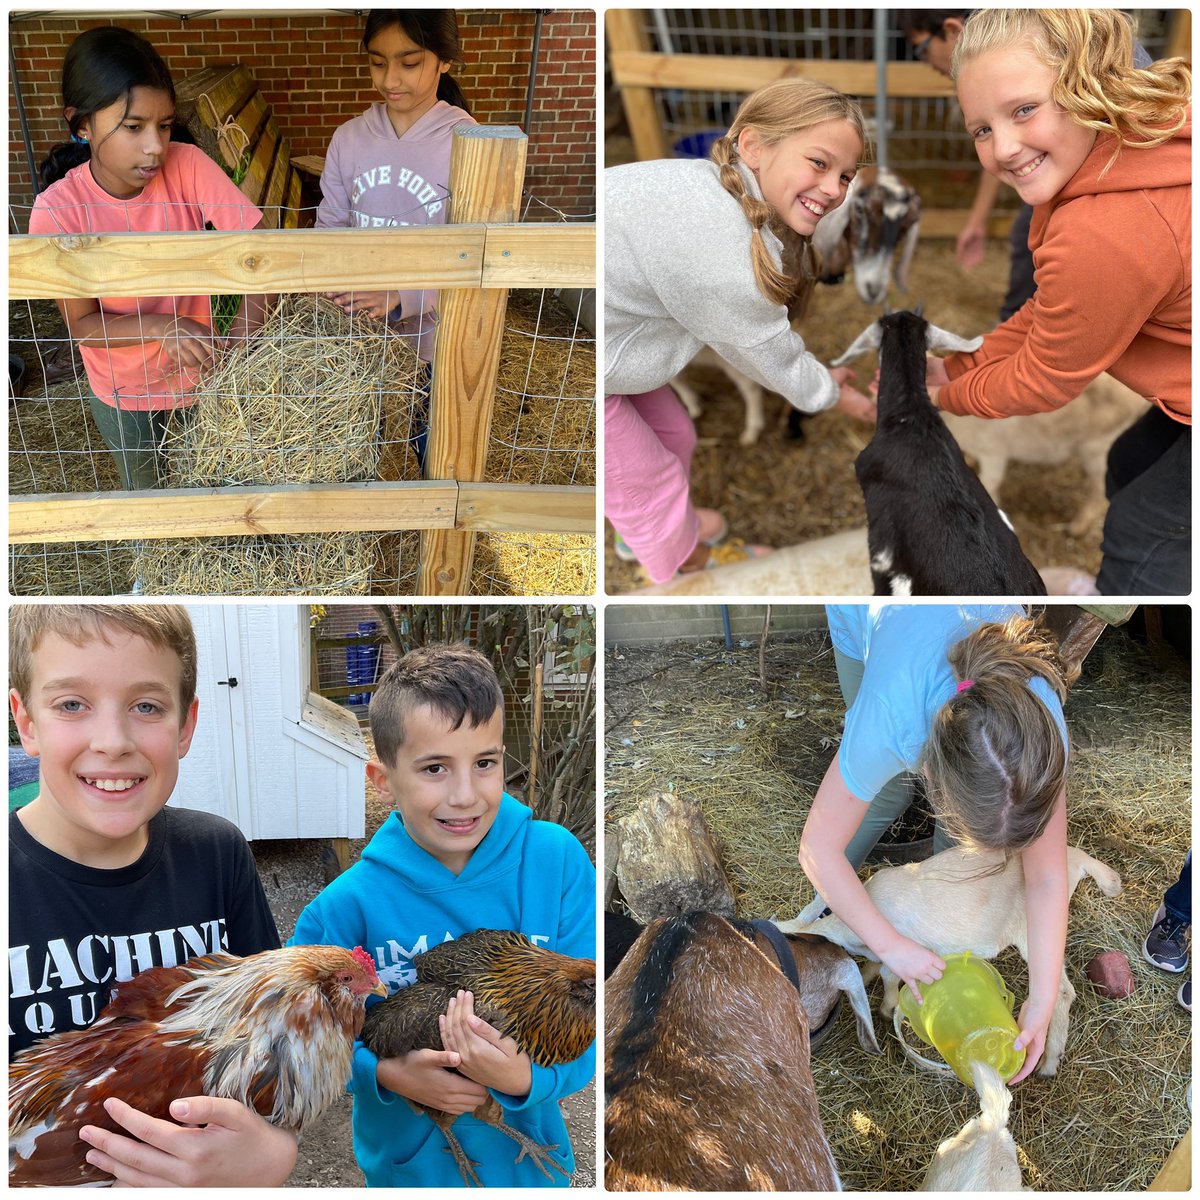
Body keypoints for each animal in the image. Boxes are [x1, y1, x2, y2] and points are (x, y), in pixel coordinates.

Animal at [777, 844, 1123, 1080]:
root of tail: (1077, 858)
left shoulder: (906, 949)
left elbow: (889, 976)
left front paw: (886, 1008)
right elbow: (874, 968)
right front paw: (866, 979)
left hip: (1035, 928)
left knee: (1061, 991)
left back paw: (1050, 1062)